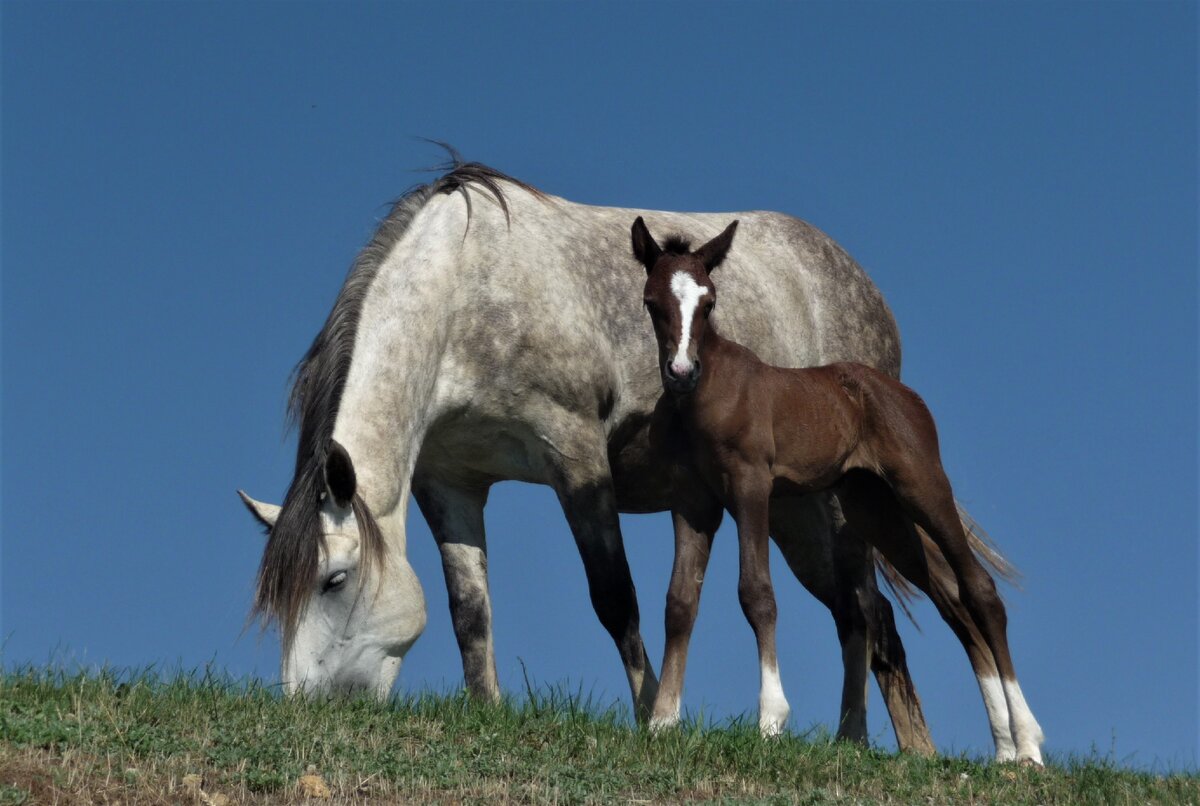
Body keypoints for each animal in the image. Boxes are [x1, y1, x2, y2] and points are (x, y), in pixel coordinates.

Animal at [638, 215, 1041, 762]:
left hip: (923, 487)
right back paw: (1002, 747)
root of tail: (901, 391)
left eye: (709, 301)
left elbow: (757, 592)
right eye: (652, 302)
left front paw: (771, 720)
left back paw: (1028, 744)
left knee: (981, 590)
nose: (681, 372)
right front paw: (661, 723)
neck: (708, 394)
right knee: (953, 599)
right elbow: (680, 600)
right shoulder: (692, 502)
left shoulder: (751, 487)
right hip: (877, 509)